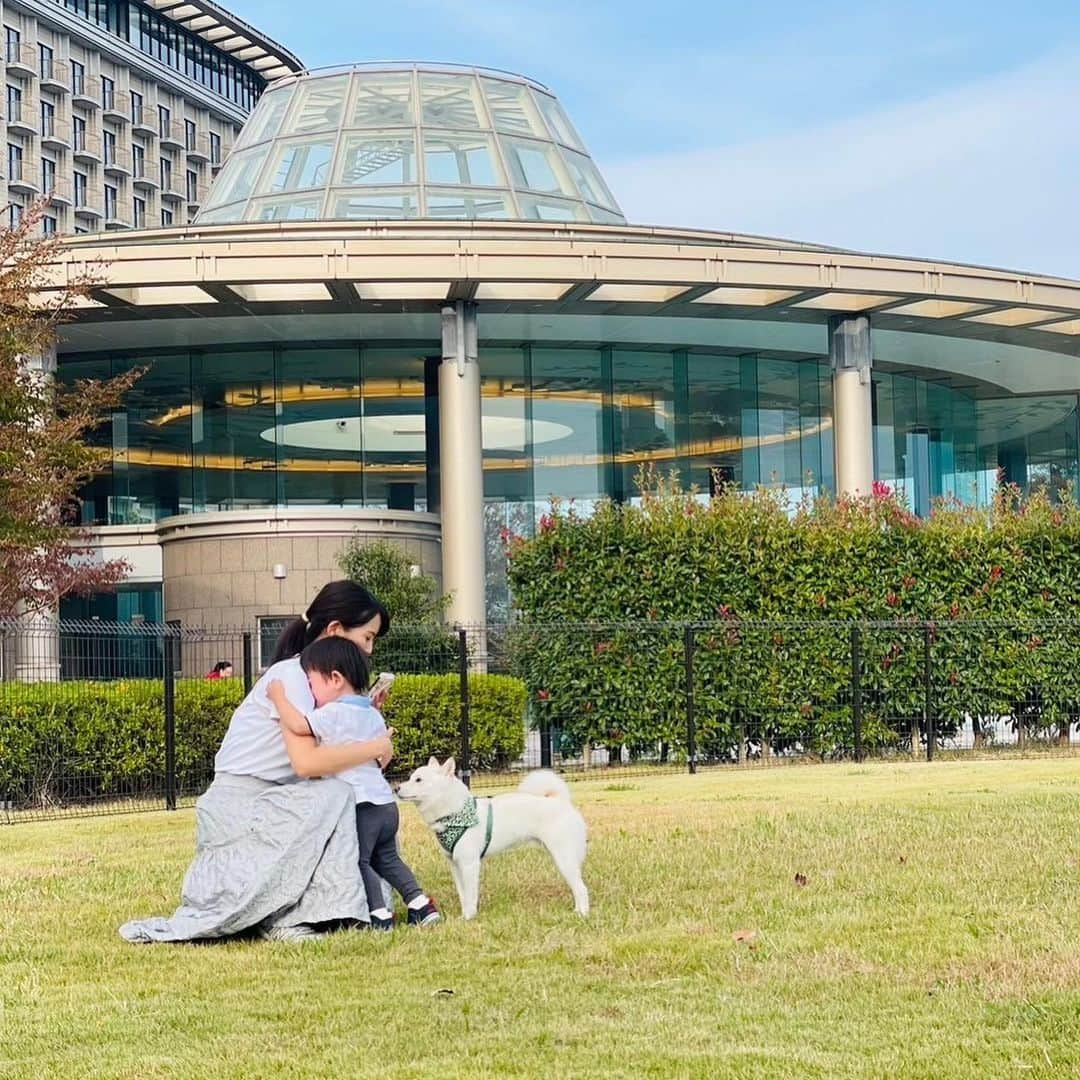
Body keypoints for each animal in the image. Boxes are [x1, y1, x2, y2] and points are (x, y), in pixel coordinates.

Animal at [395, 760, 587, 920]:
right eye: (410, 777)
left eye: (418, 780)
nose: (396, 788)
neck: (453, 814)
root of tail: (560, 801)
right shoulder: (455, 865)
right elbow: (463, 895)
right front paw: (463, 917)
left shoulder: (470, 864)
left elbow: (470, 895)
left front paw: (470, 917)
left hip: (564, 859)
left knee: (581, 889)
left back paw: (582, 914)